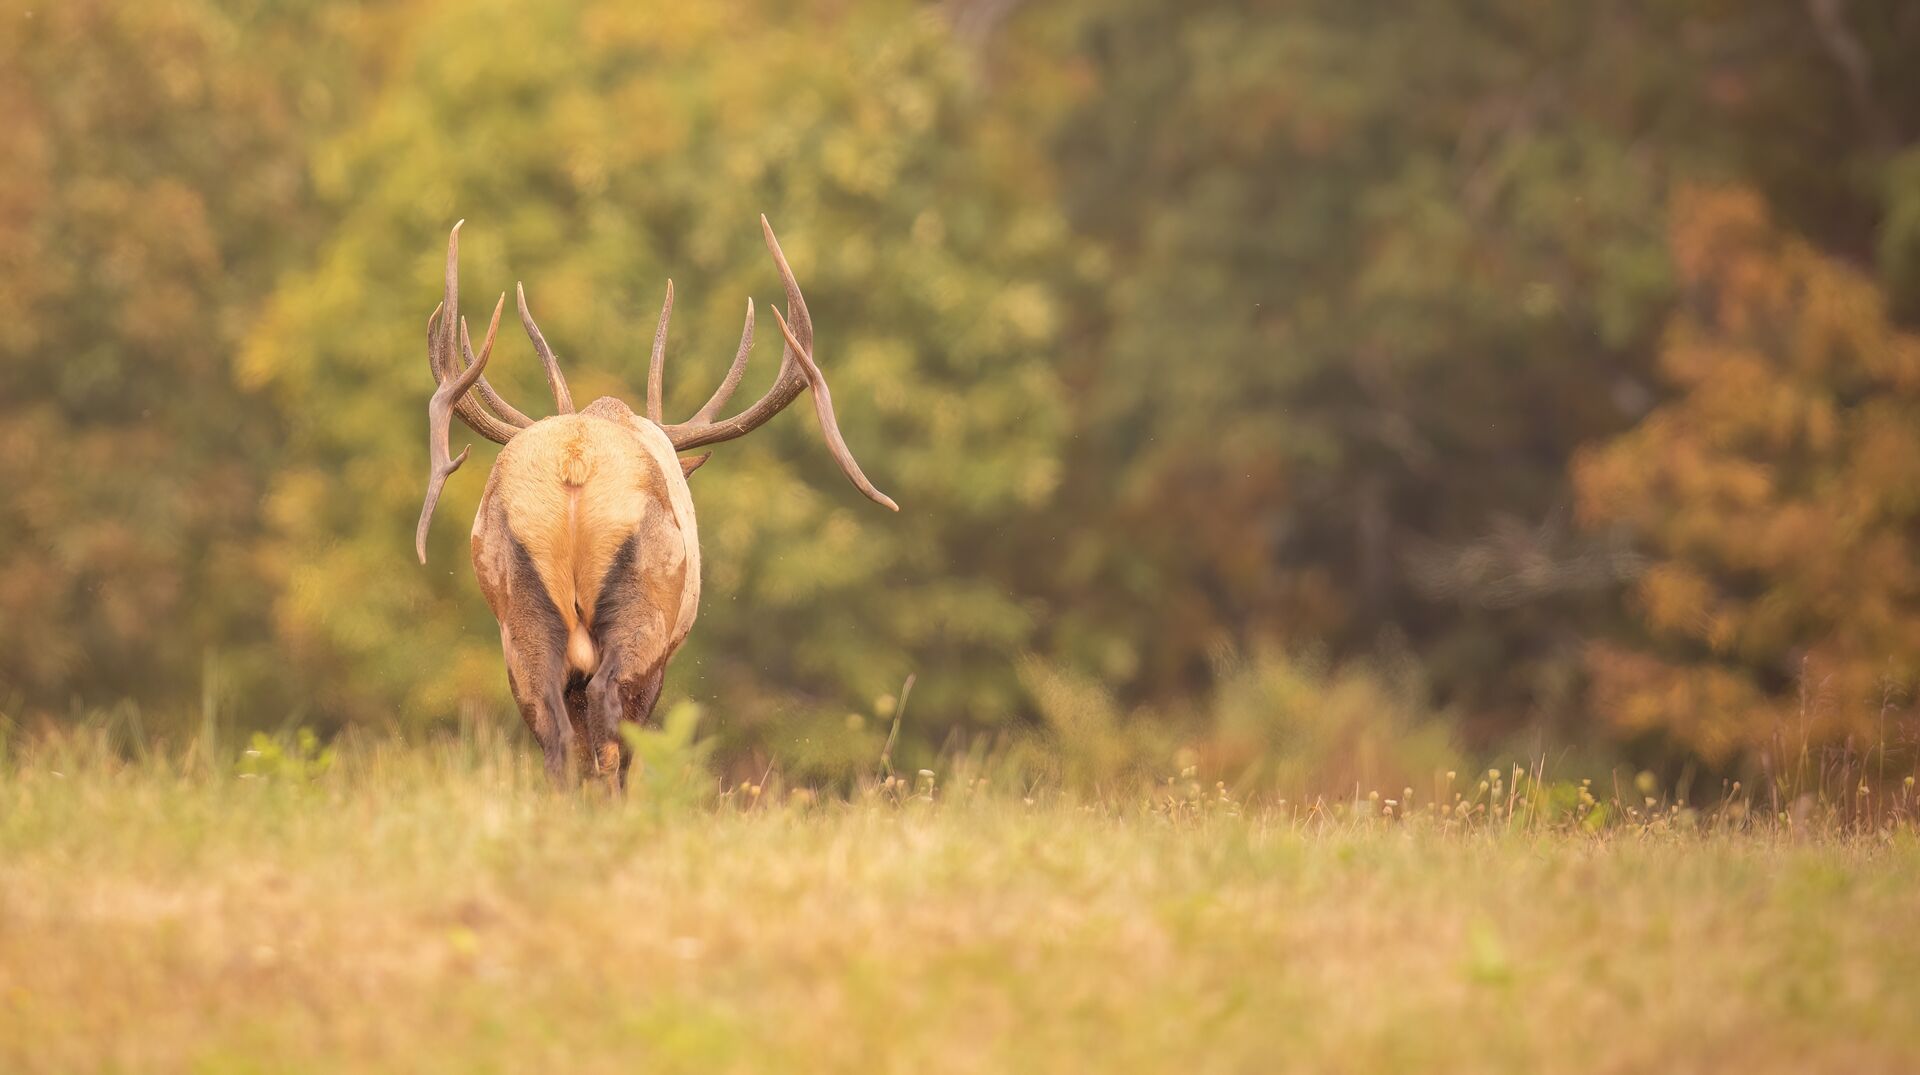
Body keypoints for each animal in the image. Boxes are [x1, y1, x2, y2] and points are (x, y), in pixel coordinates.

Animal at [413, 215, 897, 788]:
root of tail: (576, 462)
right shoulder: (663, 653)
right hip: (643, 608)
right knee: (612, 723)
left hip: (519, 614)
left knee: (554, 732)